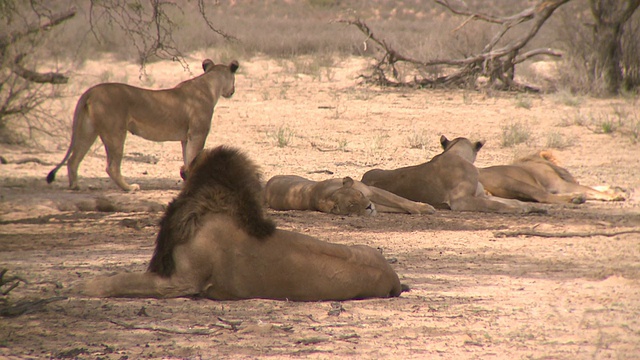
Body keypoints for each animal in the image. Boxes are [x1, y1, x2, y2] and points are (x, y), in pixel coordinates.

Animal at [46, 58, 239, 191]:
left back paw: (75, 186)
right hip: (115, 132)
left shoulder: (186, 137)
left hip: (88, 130)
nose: (233, 91)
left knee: (73, 159)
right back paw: (130, 188)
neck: (210, 84)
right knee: (112, 166)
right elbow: (193, 158)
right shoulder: (198, 133)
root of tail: (91, 90)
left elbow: (187, 159)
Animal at [362, 136, 544, 214]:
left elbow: (509, 200)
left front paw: (532, 207)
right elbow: (495, 204)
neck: (455, 151)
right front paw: (516, 209)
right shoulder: (460, 201)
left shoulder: (480, 195)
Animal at [480, 150, 624, 204]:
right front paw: (614, 195)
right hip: (512, 182)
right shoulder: (560, 185)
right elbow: (589, 188)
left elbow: (592, 187)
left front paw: (614, 189)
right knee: (543, 196)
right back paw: (575, 198)